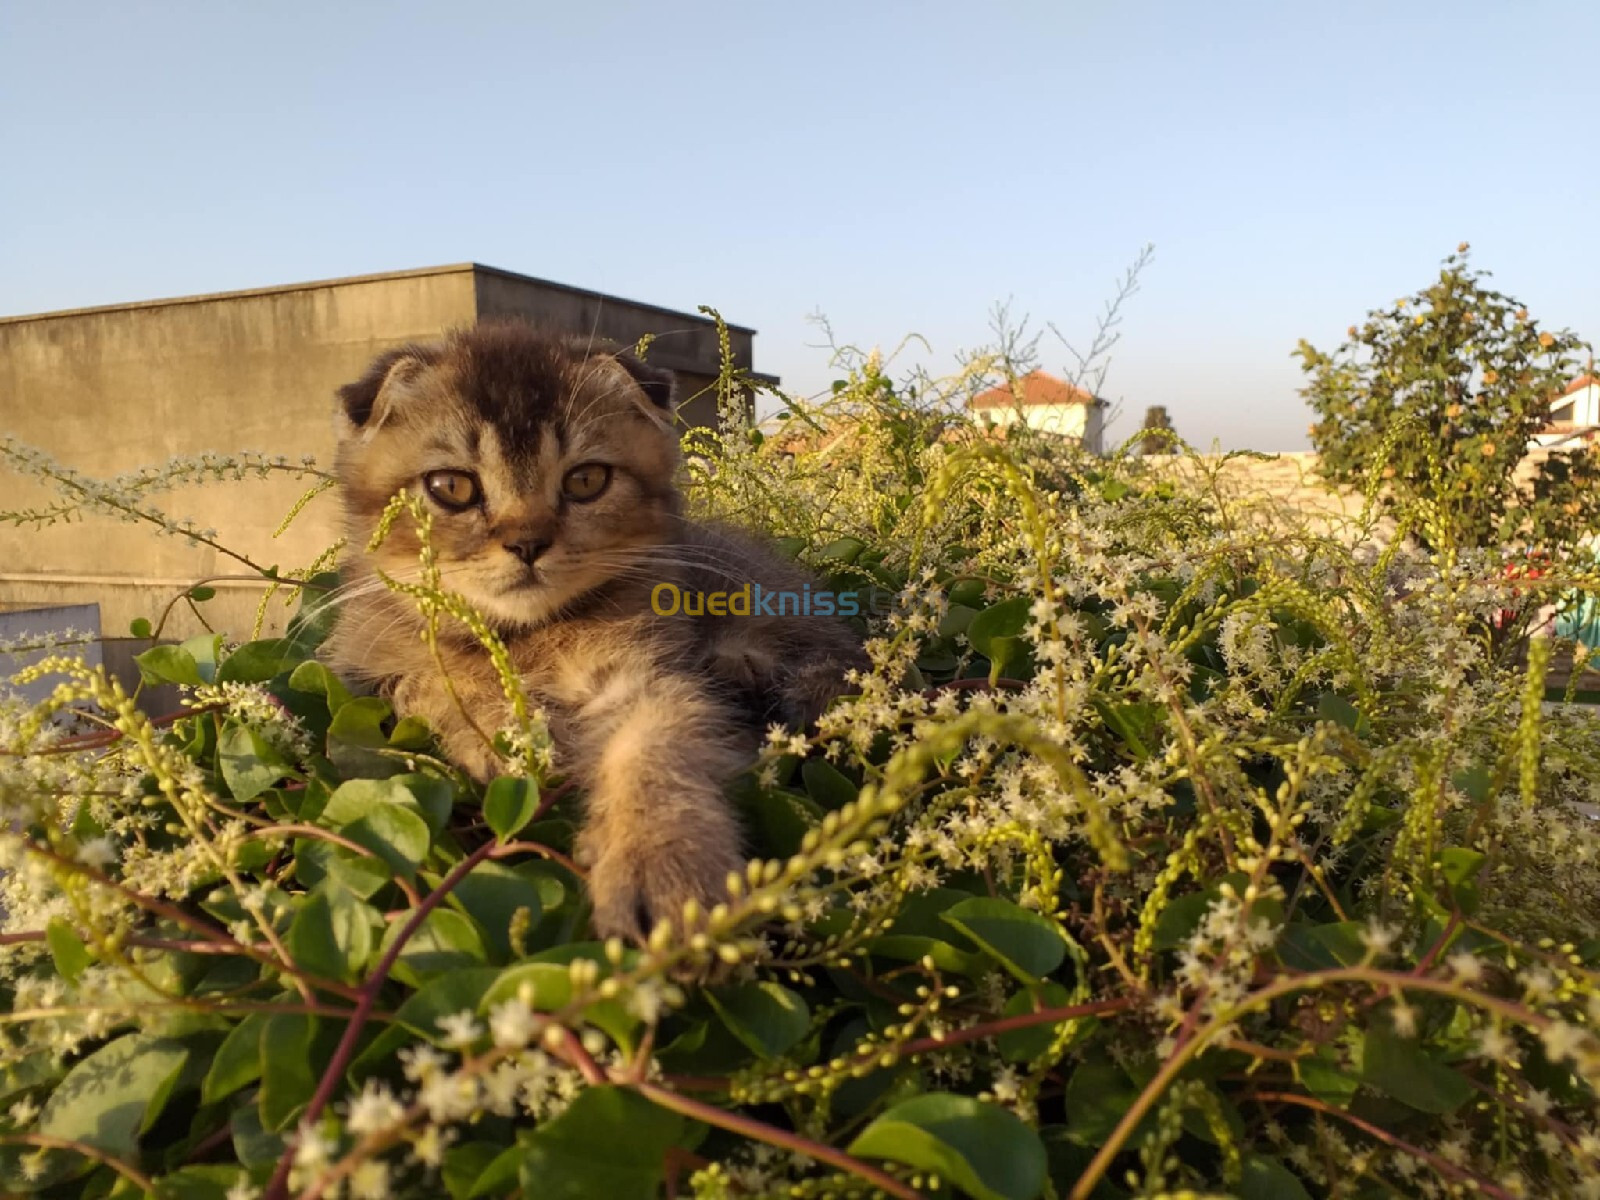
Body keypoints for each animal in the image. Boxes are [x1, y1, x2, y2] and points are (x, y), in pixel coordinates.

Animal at [321, 324, 864, 947]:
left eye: (586, 480)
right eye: (452, 487)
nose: (528, 543)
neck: (526, 635)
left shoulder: (646, 670)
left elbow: (657, 742)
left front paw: (664, 867)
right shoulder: (364, 667)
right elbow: (433, 679)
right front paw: (500, 726)